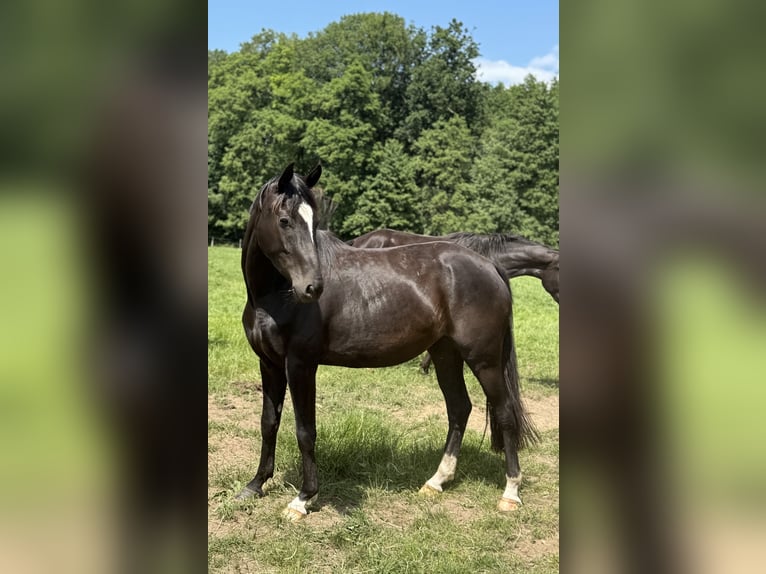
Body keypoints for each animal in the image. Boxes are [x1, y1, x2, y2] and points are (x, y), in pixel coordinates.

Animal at [238, 163, 538, 520]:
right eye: (285, 220)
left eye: (314, 221)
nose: (313, 287)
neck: (274, 297)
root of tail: (489, 264)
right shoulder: (269, 363)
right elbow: (268, 423)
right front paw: (256, 484)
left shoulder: (300, 364)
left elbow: (305, 430)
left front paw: (303, 498)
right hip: (445, 353)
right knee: (459, 408)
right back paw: (436, 481)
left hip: (484, 359)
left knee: (504, 412)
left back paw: (510, 493)